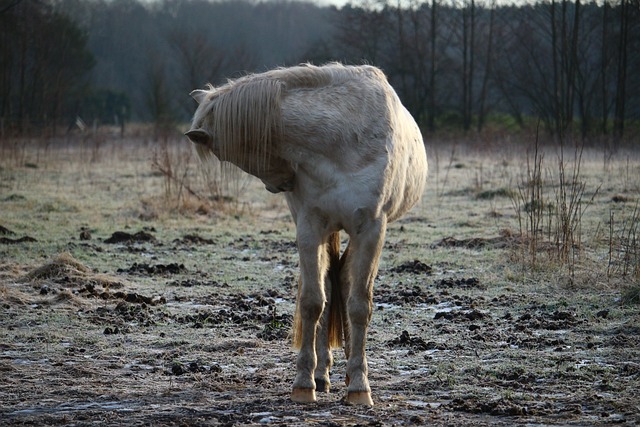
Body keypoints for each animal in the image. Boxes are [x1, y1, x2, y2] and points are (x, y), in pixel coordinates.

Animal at [185, 61, 428, 406]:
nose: (280, 185)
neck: (339, 139)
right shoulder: (311, 227)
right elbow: (313, 302)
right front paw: (304, 383)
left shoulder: (371, 229)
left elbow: (359, 306)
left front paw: (359, 387)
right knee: (330, 284)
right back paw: (323, 374)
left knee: (345, 283)